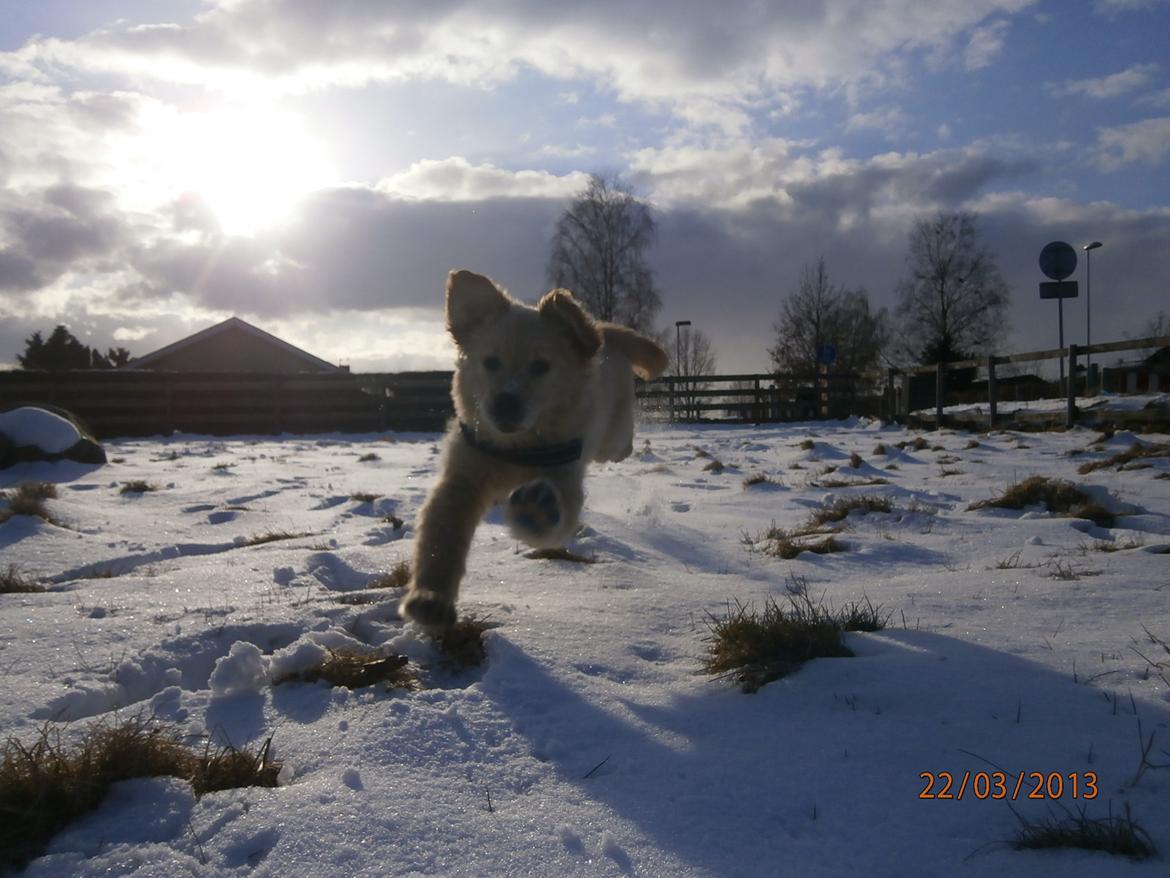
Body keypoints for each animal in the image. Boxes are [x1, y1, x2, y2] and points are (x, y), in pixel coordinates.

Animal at [402, 270, 669, 632]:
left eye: (541, 366)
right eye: (491, 362)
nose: (504, 404)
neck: (518, 448)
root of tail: (603, 331)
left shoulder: (566, 477)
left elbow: (560, 515)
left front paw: (537, 510)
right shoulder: (464, 476)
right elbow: (441, 536)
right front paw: (430, 599)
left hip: (611, 433)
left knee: (618, 442)